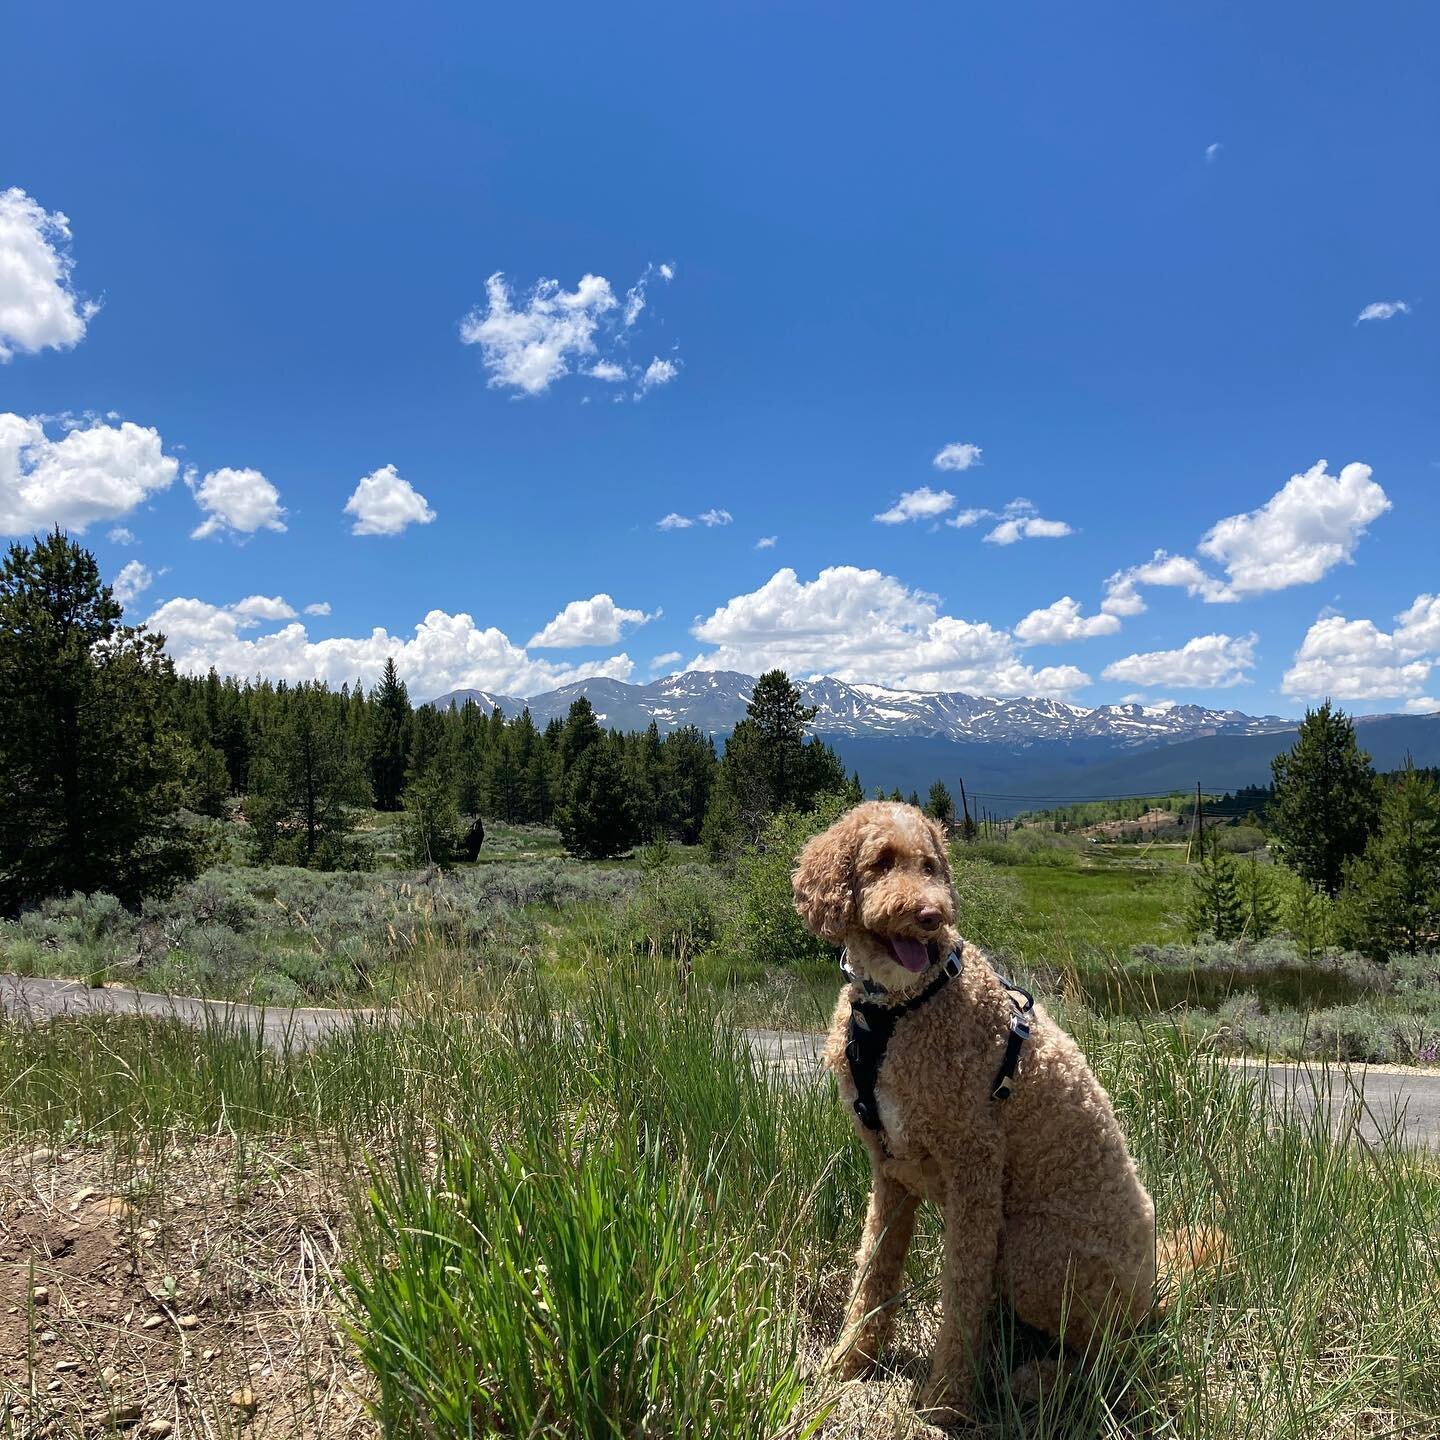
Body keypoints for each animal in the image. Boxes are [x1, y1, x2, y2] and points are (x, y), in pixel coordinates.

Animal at [789, 806, 1180, 1422]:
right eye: (881, 862)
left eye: (930, 865)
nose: (931, 915)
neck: (900, 1009)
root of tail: (1152, 1290)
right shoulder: (890, 1170)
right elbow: (874, 1272)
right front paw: (846, 1366)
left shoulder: (974, 1168)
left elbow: (960, 1294)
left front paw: (945, 1403)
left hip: (1033, 1252)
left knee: (1112, 1358)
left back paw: (1039, 1381)